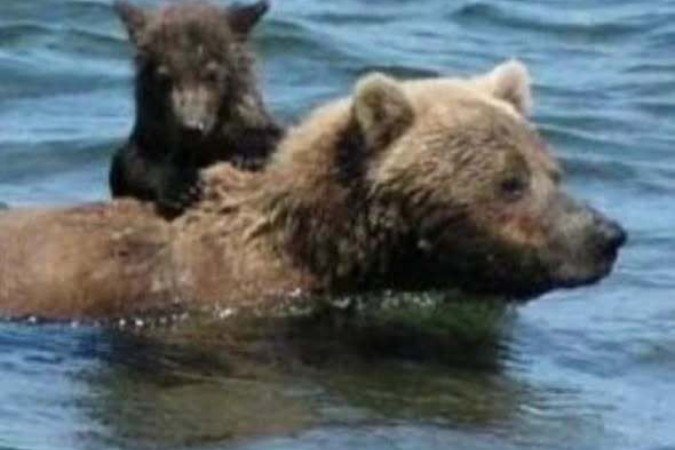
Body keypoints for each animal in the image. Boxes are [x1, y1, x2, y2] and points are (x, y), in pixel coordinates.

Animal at [109, 0, 283, 218]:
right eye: (164, 77)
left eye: (212, 74)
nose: (191, 127)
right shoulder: (148, 139)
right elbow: (133, 163)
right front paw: (180, 186)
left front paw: (252, 155)